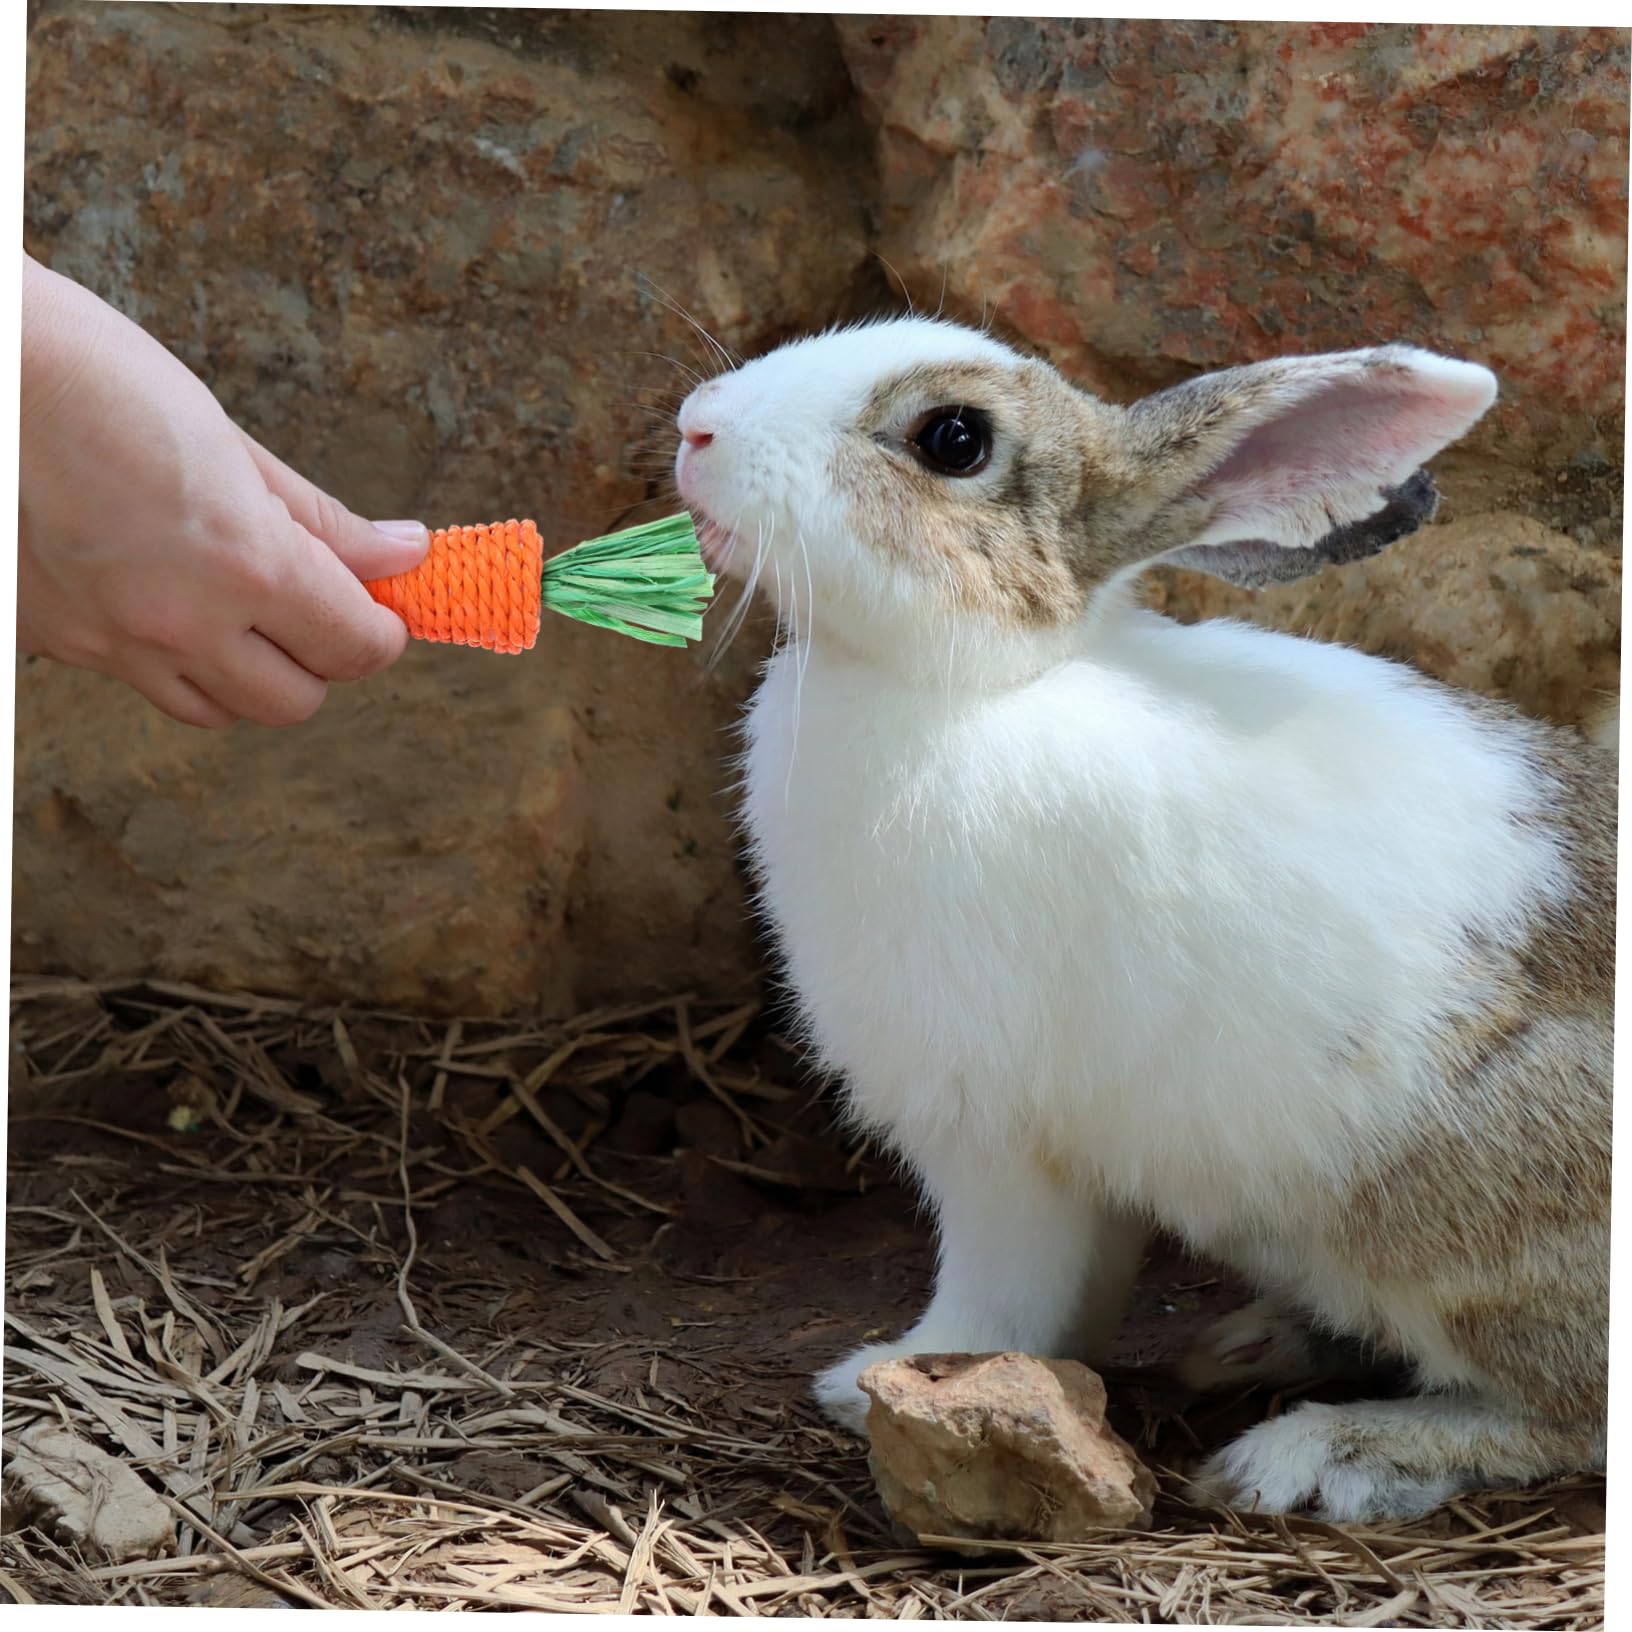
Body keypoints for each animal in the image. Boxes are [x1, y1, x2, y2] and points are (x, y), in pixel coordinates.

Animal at [672, 317, 1613, 1524]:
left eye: (953, 439)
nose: (698, 426)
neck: (973, 687)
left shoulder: (986, 1131)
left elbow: (1001, 1294)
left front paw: (886, 1375)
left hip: (1460, 1227)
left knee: (1567, 1410)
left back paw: (1329, 1451)